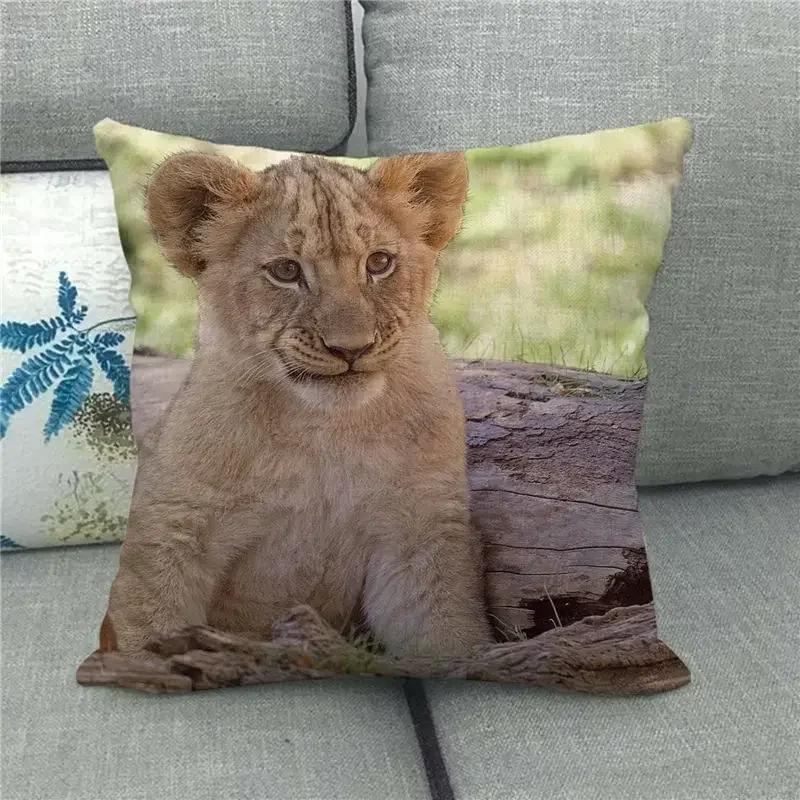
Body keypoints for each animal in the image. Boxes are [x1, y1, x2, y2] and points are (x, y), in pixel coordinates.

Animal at [100, 149, 491, 660]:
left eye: (379, 262)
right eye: (286, 271)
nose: (351, 348)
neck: (324, 429)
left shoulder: (420, 533)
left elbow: (446, 638)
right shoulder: (172, 531)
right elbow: (149, 633)